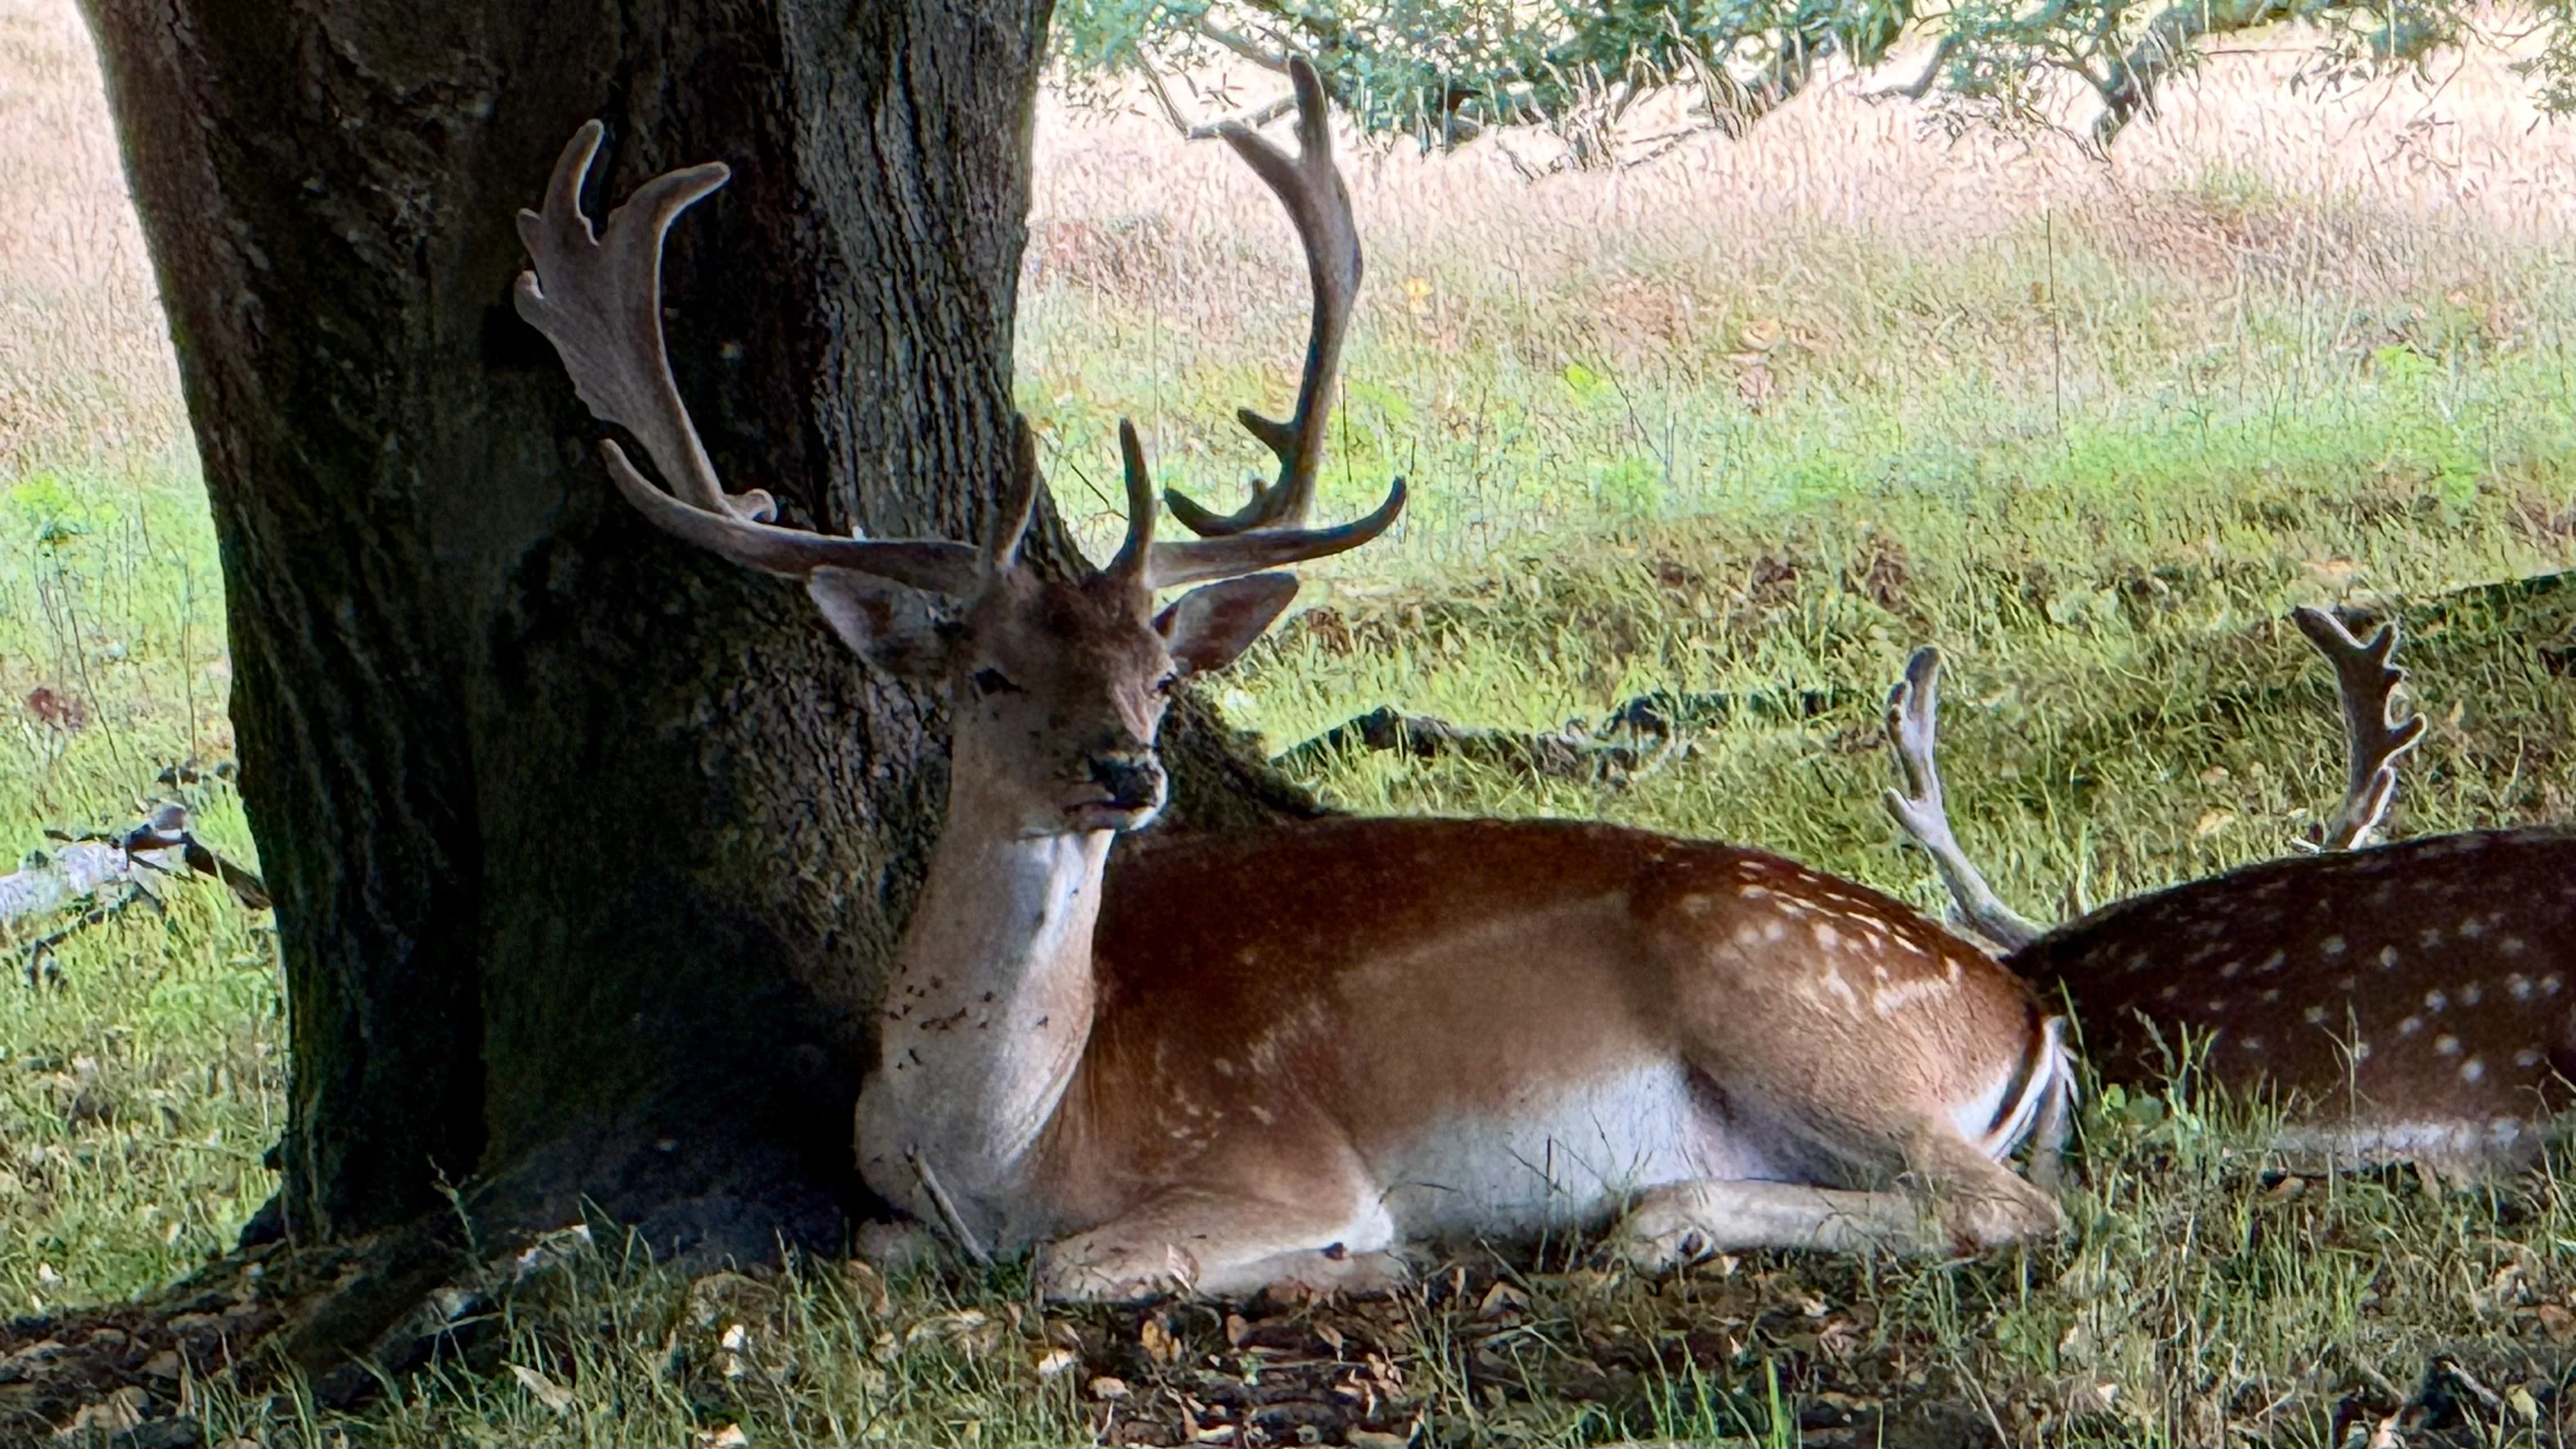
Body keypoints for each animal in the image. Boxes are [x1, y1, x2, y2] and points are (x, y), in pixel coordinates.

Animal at [512, 60, 2070, 1303]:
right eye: (988, 675)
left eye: (1156, 674)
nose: (1129, 770)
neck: (1002, 1140)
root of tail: (2021, 1017)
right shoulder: (898, 1202)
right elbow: (878, 1241)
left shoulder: (1280, 1152)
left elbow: (1078, 1266)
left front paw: (1354, 1260)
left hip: (1795, 1010)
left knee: (2000, 1205)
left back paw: (1622, 1227)